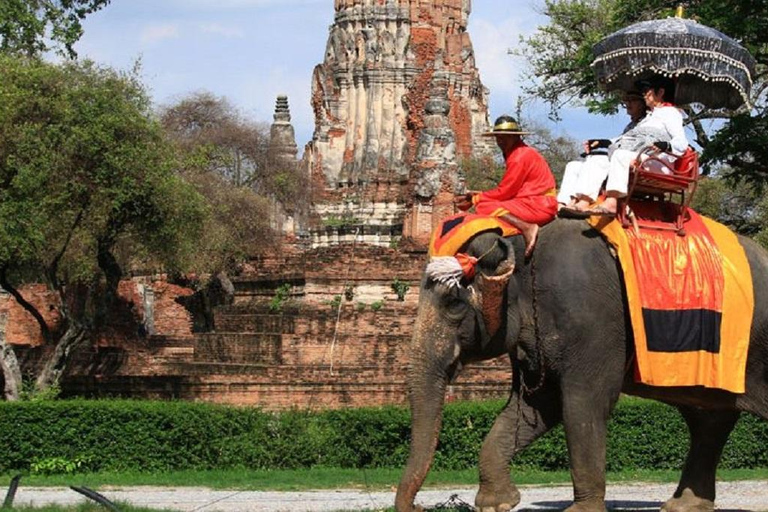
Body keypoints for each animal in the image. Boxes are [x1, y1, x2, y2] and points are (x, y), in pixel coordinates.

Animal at [396, 218, 768, 512]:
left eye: (454, 303)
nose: (420, 507)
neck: (523, 241)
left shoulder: (591, 319)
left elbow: (583, 404)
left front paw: (579, 510)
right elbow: (534, 407)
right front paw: (496, 504)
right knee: (709, 421)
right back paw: (683, 506)